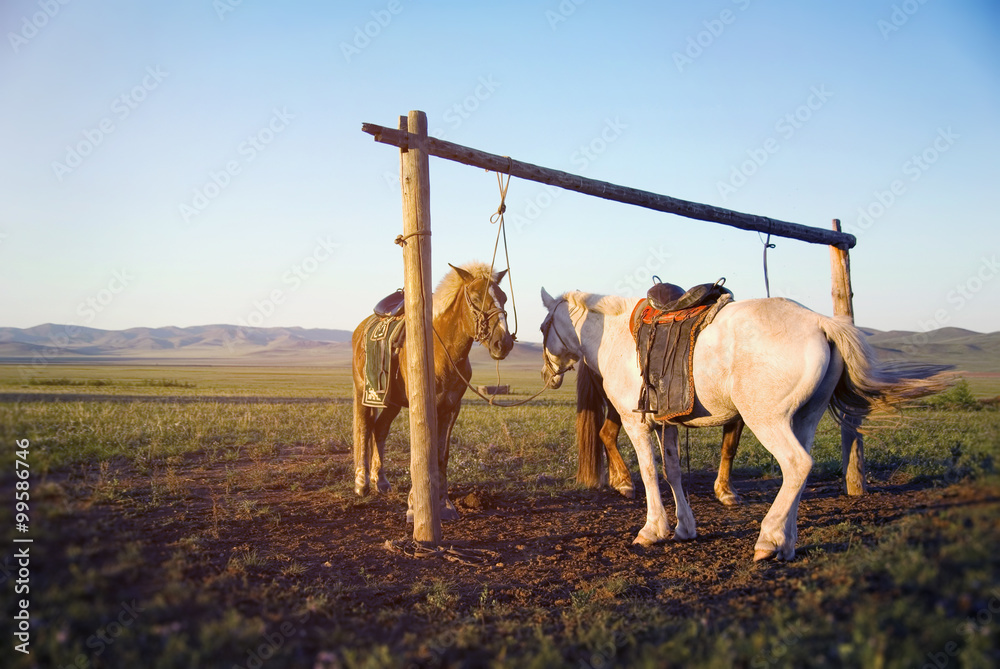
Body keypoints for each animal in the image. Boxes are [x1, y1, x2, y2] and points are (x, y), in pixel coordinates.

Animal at [350, 258, 512, 520]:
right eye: (476, 297)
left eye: (504, 297)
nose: (503, 343)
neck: (441, 351)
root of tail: (361, 327)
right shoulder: (427, 406)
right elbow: (422, 454)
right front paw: (414, 506)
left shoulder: (451, 408)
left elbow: (441, 455)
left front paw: (444, 503)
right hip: (363, 392)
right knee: (365, 427)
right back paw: (362, 483)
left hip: (392, 402)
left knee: (380, 429)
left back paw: (381, 481)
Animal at [576, 362, 748, 504]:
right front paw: (726, 491)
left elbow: (729, 447)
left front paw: (725, 490)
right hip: (619, 408)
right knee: (607, 434)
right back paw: (625, 482)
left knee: (607, 436)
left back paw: (617, 479)